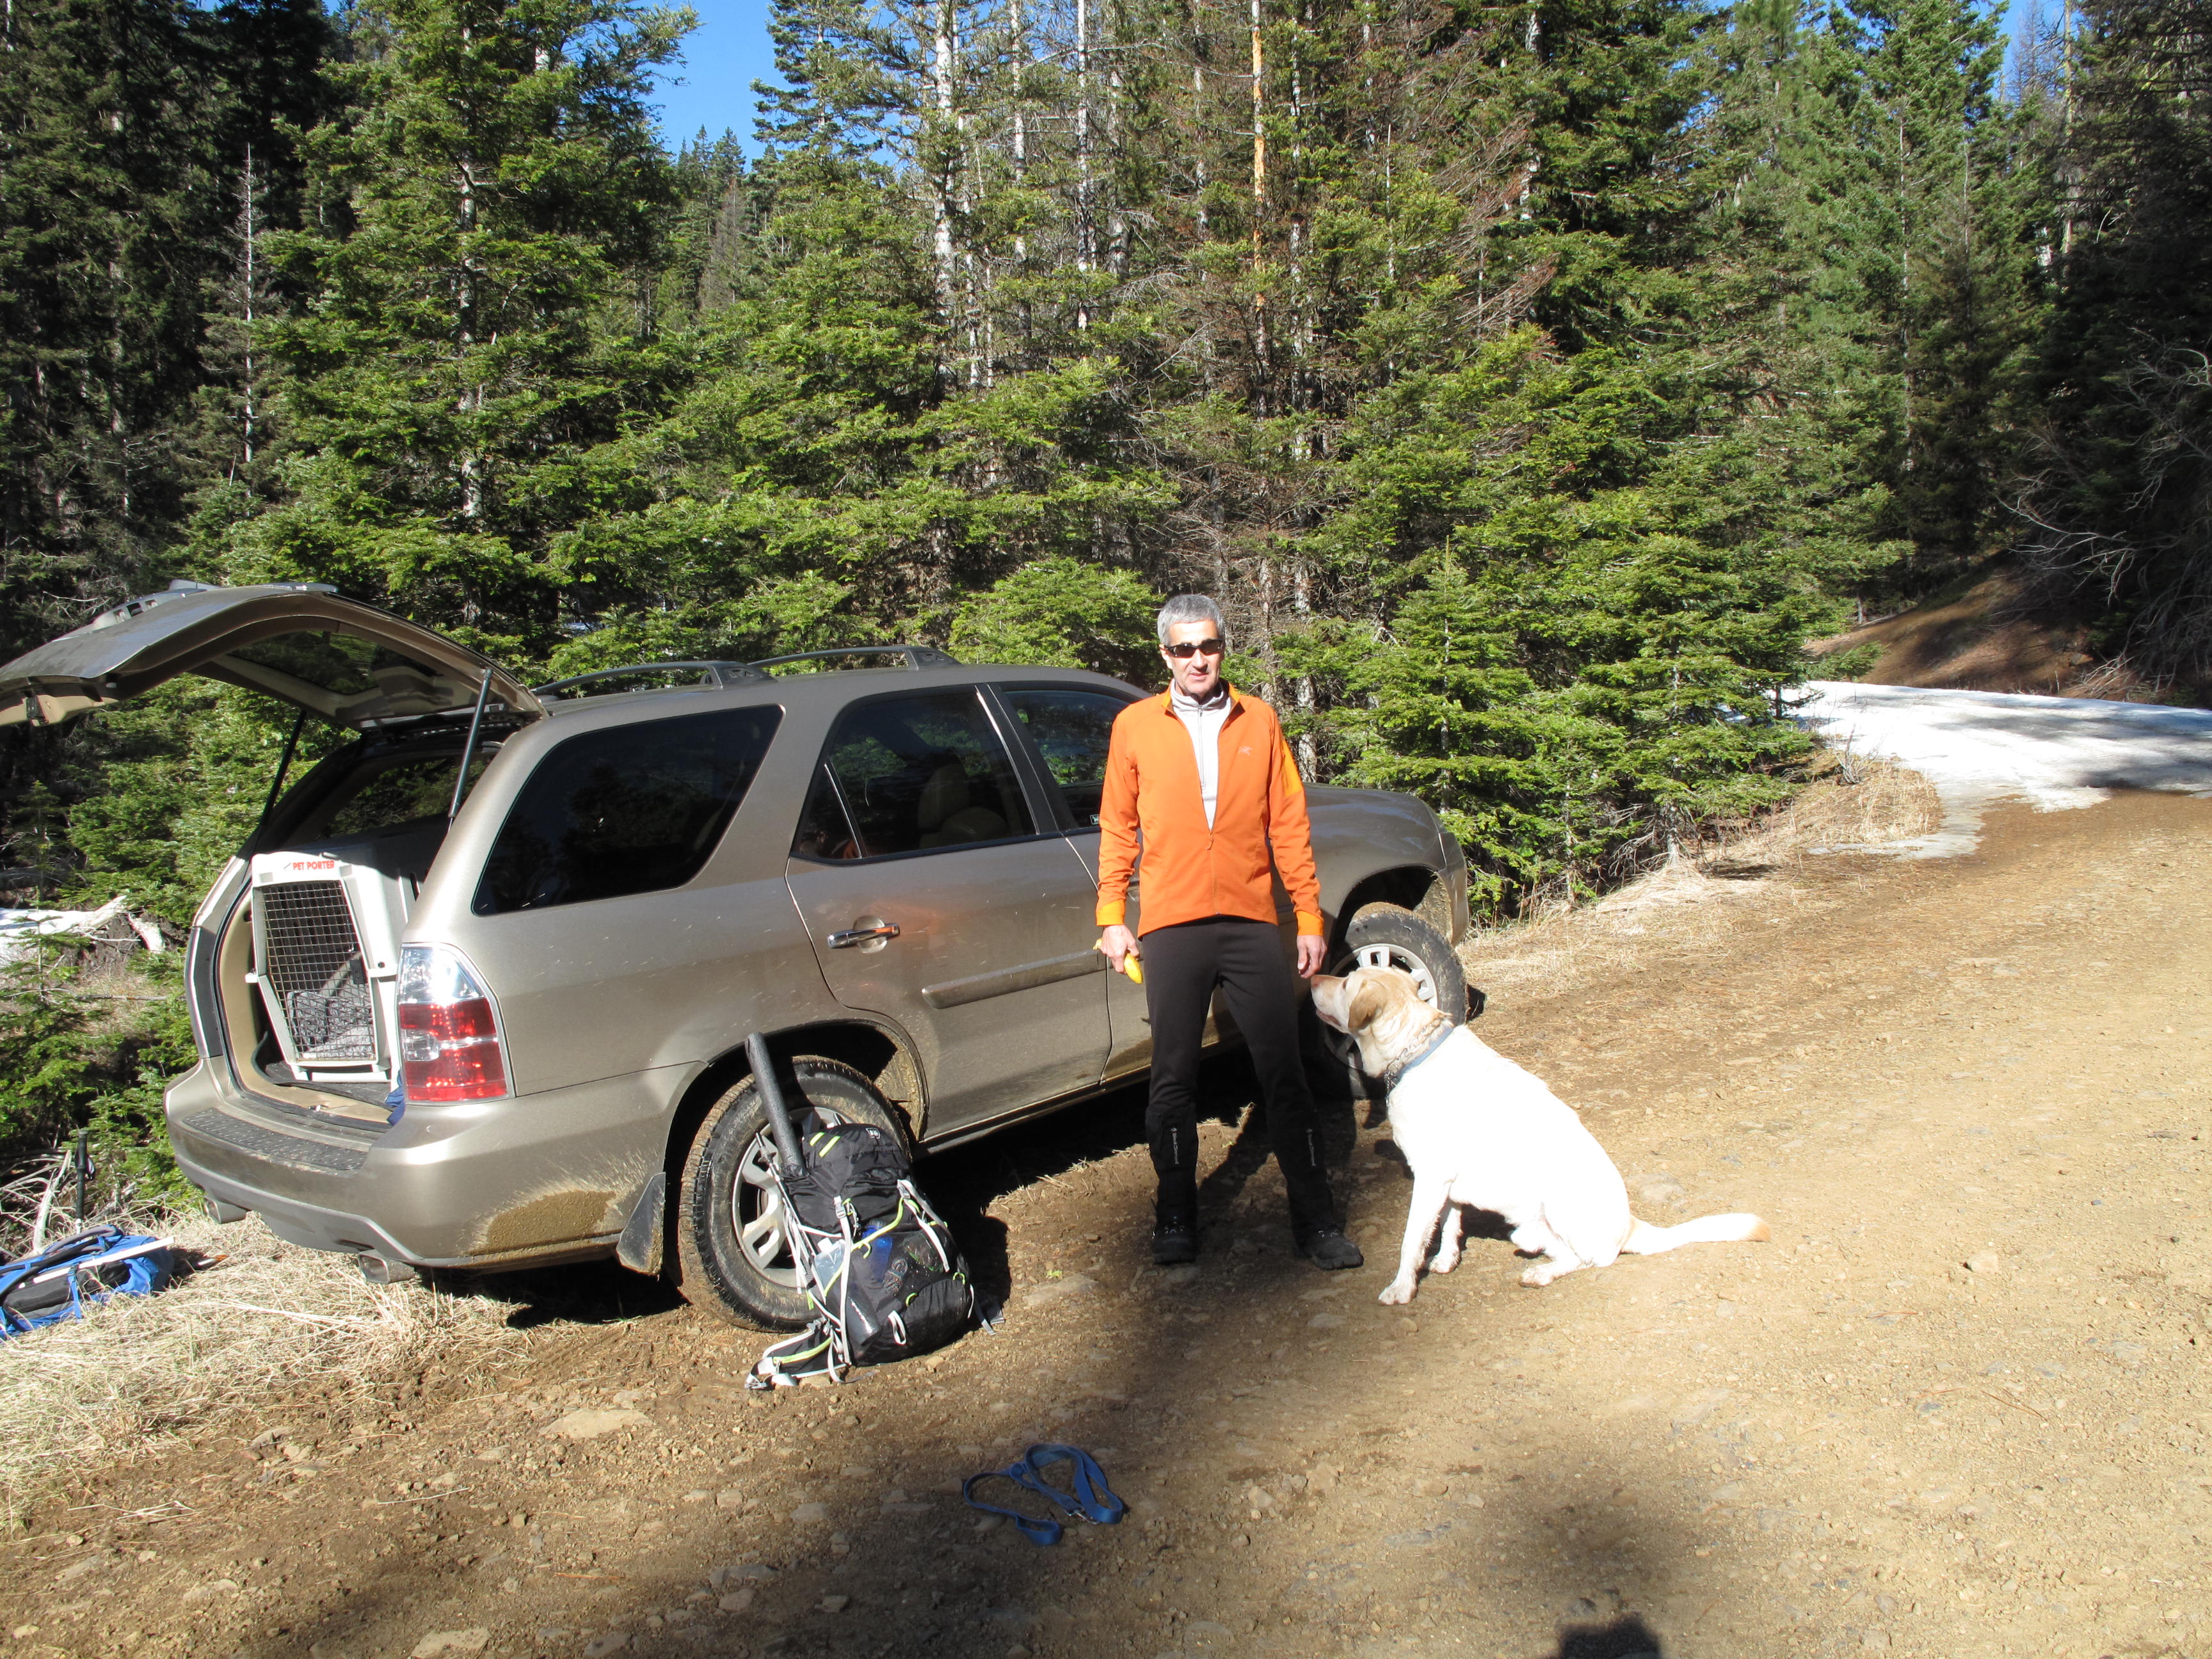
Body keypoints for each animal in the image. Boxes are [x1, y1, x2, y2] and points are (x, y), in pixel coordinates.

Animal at [1310, 966, 1768, 1301]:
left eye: (1346, 982)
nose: (1311, 978)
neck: (1415, 1052)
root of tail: (1631, 1224)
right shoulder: (1446, 1181)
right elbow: (1450, 1222)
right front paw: (1445, 1260)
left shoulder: (1430, 1177)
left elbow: (1411, 1240)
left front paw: (1402, 1289)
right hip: (1527, 1218)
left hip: (1561, 1202)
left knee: (1590, 1259)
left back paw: (1542, 1273)